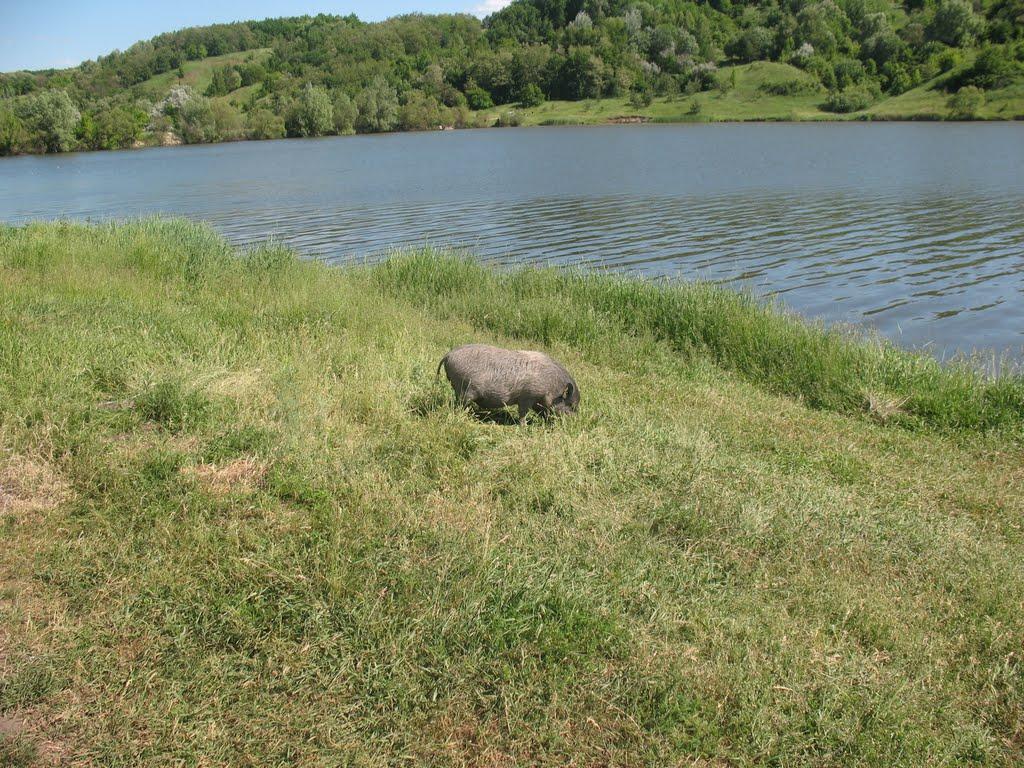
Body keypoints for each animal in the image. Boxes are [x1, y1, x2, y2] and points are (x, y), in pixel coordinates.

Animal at [436, 344, 581, 428]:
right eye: (571, 405)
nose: (575, 422)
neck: (551, 386)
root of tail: (448, 355)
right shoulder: (527, 396)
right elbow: (523, 413)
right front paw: (525, 427)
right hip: (465, 389)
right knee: (459, 405)